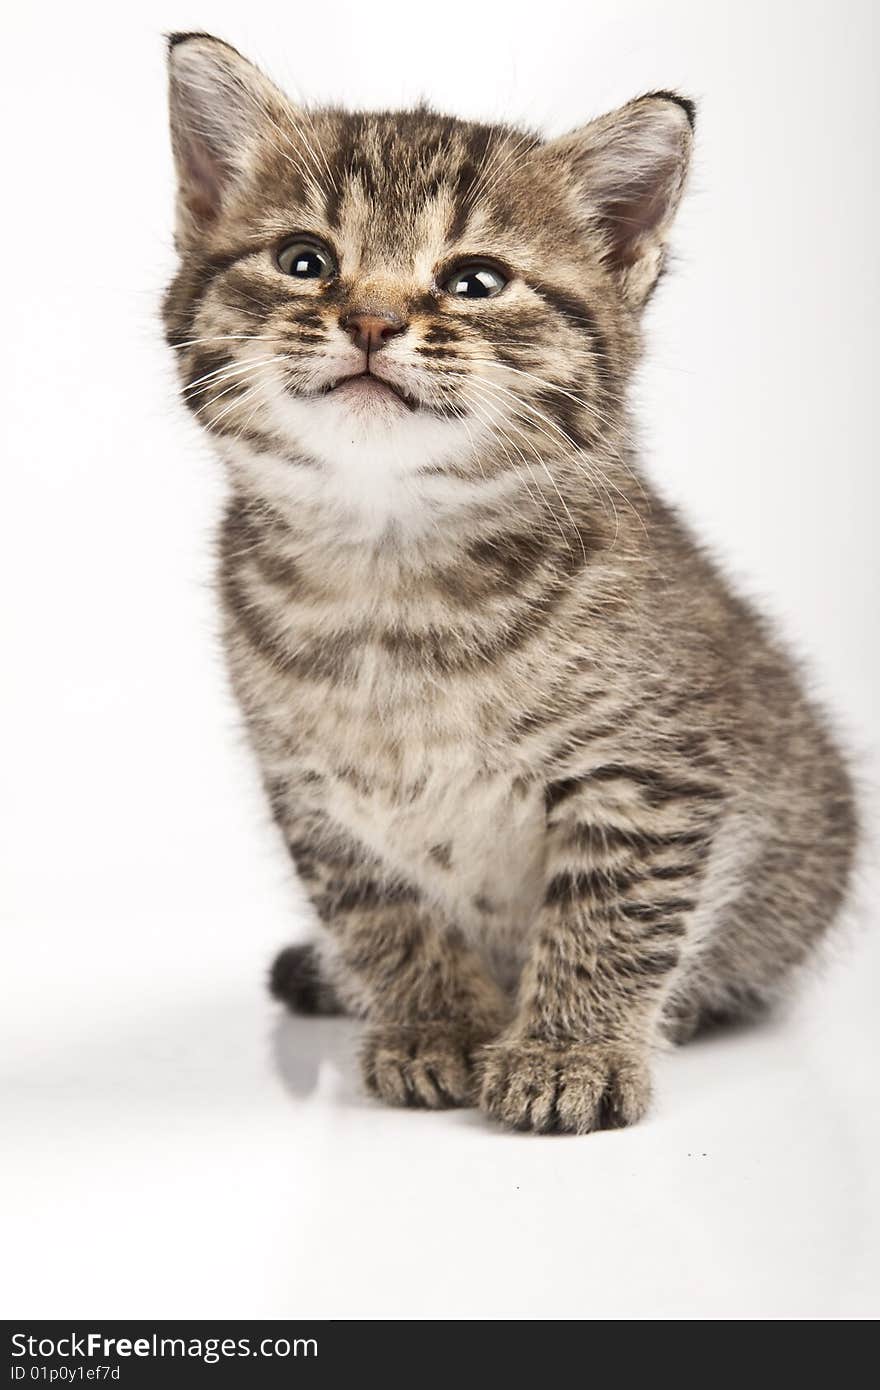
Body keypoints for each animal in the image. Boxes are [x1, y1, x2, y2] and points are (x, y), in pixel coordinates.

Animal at [163, 32, 850, 1134]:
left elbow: (611, 912)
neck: (391, 569)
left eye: (476, 281)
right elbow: (381, 911)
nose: (370, 318)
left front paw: (571, 1050)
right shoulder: (315, 793)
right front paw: (433, 1022)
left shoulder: (650, 775)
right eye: (305, 261)